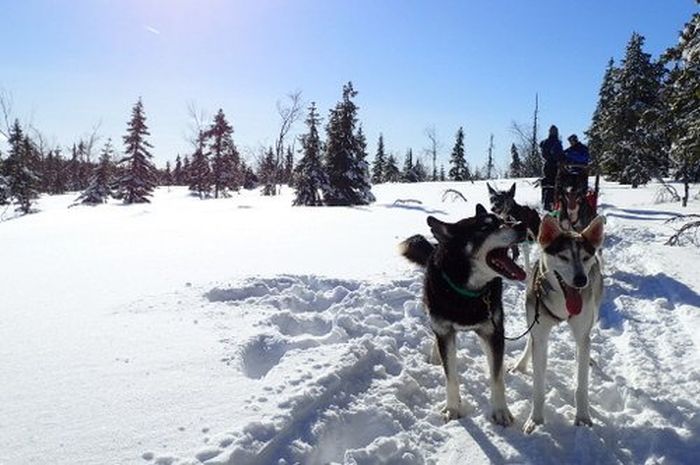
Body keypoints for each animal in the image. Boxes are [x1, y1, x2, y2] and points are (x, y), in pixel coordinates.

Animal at [400, 204, 524, 424]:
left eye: (503, 219)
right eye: (485, 227)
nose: (521, 225)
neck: (467, 293)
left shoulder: (494, 331)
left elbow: (497, 377)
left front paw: (500, 410)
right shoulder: (445, 331)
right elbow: (451, 376)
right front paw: (452, 407)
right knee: (435, 336)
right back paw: (435, 355)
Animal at [512, 214, 604, 432]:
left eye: (585, 257)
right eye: (564, 257)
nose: (581, 280)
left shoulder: (581, 332)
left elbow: (581, 385)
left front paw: (583, 418)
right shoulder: (540, 335)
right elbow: (538, 386)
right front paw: (536, 421)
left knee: (586, 342)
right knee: (531, 340)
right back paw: (521, 364)